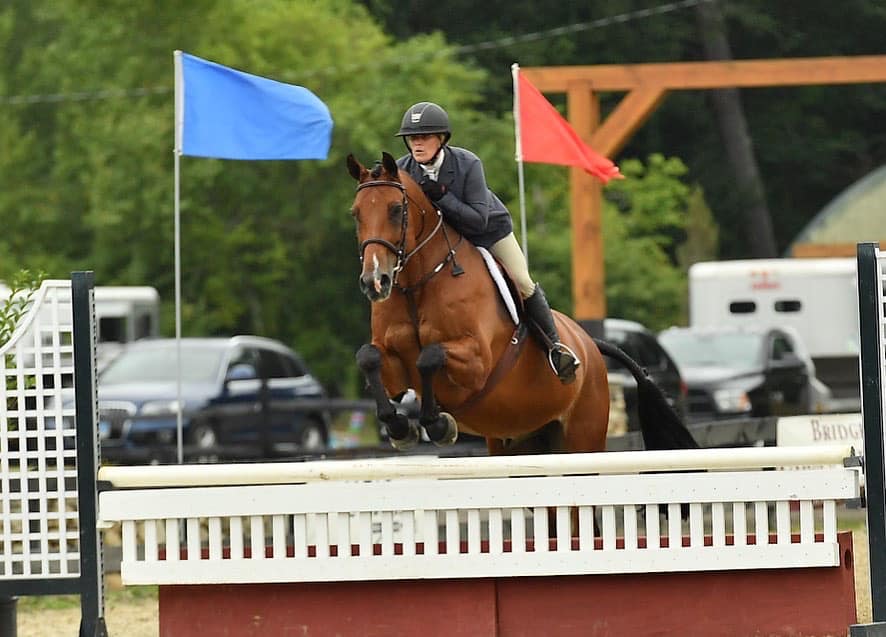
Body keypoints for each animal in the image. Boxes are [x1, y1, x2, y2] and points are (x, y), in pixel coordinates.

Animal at [346, 151, 700, 454]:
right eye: (356, 213)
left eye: (396, 209)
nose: (375, 281)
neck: (416, 287)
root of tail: (591, 345)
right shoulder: (395, 365)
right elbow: (369, 358)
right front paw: (399, 427)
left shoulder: (476, 363)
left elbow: (429, 356)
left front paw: (438, 424)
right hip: (519, 440)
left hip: (582, 436)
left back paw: (562, 359)